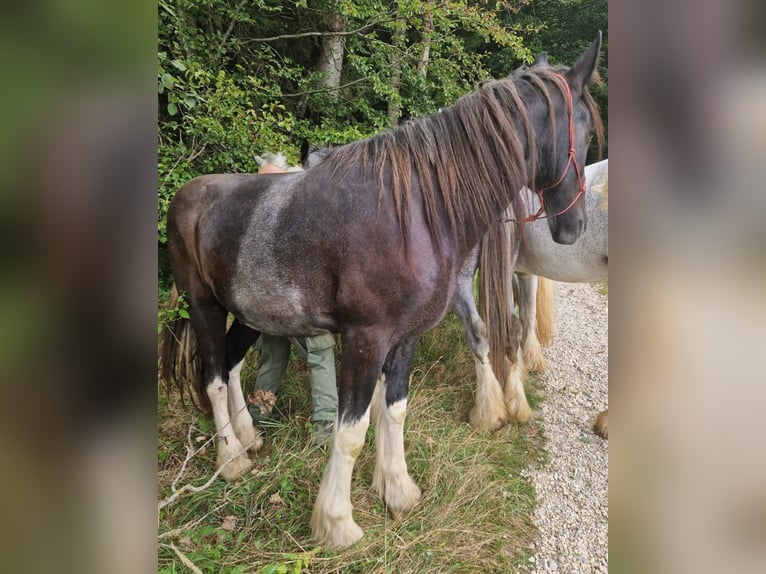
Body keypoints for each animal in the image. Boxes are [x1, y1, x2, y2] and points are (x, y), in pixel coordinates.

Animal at [160, 36, 608, 548]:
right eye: (586, 131)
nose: (575, 227)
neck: (414, 211)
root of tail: (186, 194)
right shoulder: (365, 339)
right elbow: (351, 431)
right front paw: (337, 523)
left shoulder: (405, 337)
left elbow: (394, 411)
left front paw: (397, 491)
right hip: (205, 307)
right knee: (213, 378)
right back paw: (231, 458)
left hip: (250, 312)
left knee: (232, 366)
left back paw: (248, 436)